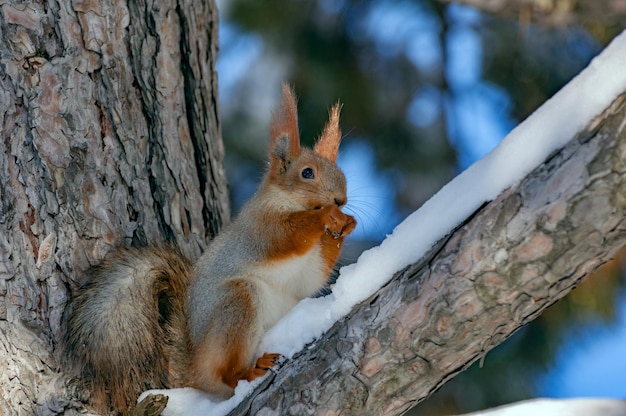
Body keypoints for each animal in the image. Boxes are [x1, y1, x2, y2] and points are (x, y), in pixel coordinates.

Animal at [66, 83, 356, 412]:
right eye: (307, 173)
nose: (341, 200)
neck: (286, 202)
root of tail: (193, 366)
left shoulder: (308, 267)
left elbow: (314, 275)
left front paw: (347, 224)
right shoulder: (260, 229)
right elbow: (288, 237)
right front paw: (325, 216)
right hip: (237, 304)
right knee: (225, 375)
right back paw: (250, 370)